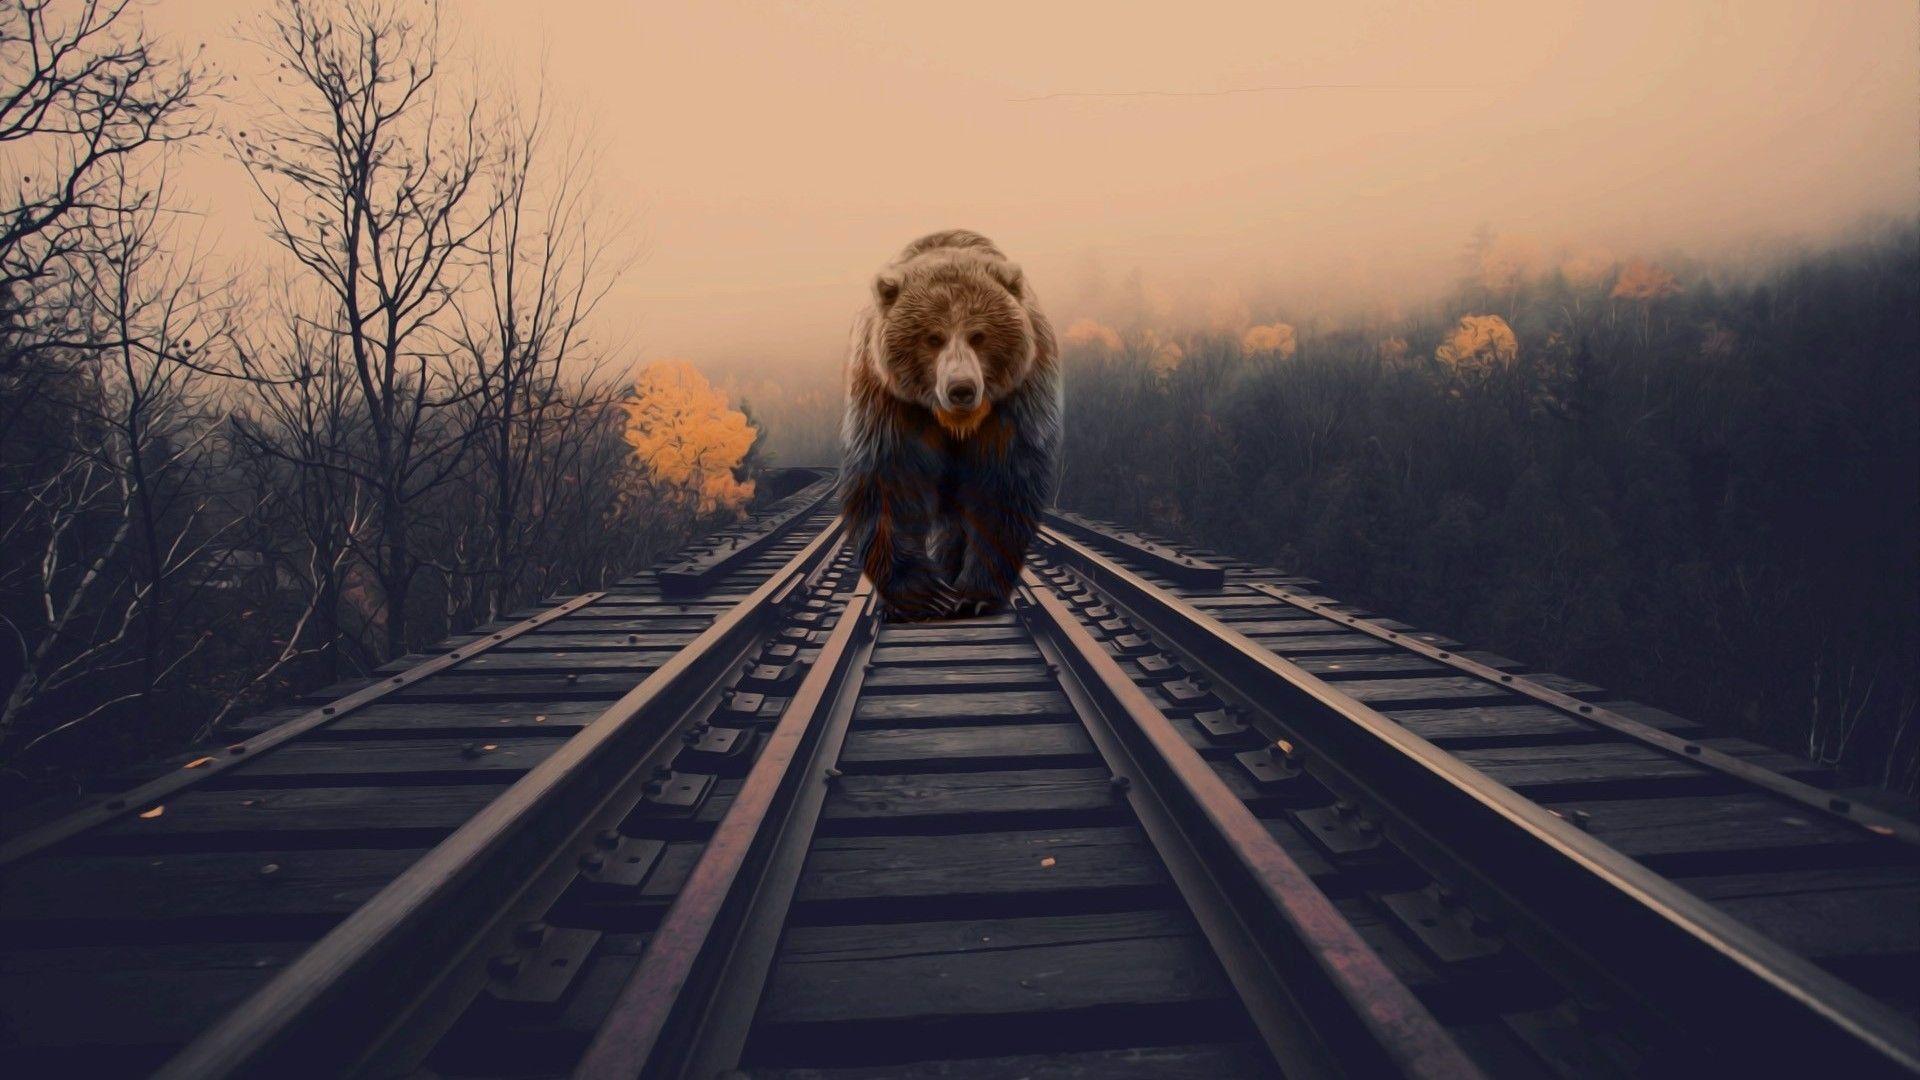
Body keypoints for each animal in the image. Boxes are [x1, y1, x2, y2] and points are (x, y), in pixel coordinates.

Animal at [838, 230, 1064, 621]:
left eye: (979, 335)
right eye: (932, 337)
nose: (961, 388)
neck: (955, 423)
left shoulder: (1014, 403)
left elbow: (1000, 487)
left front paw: (974, 595)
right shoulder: (891, 403)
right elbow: (890, 482)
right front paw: (923, 595)